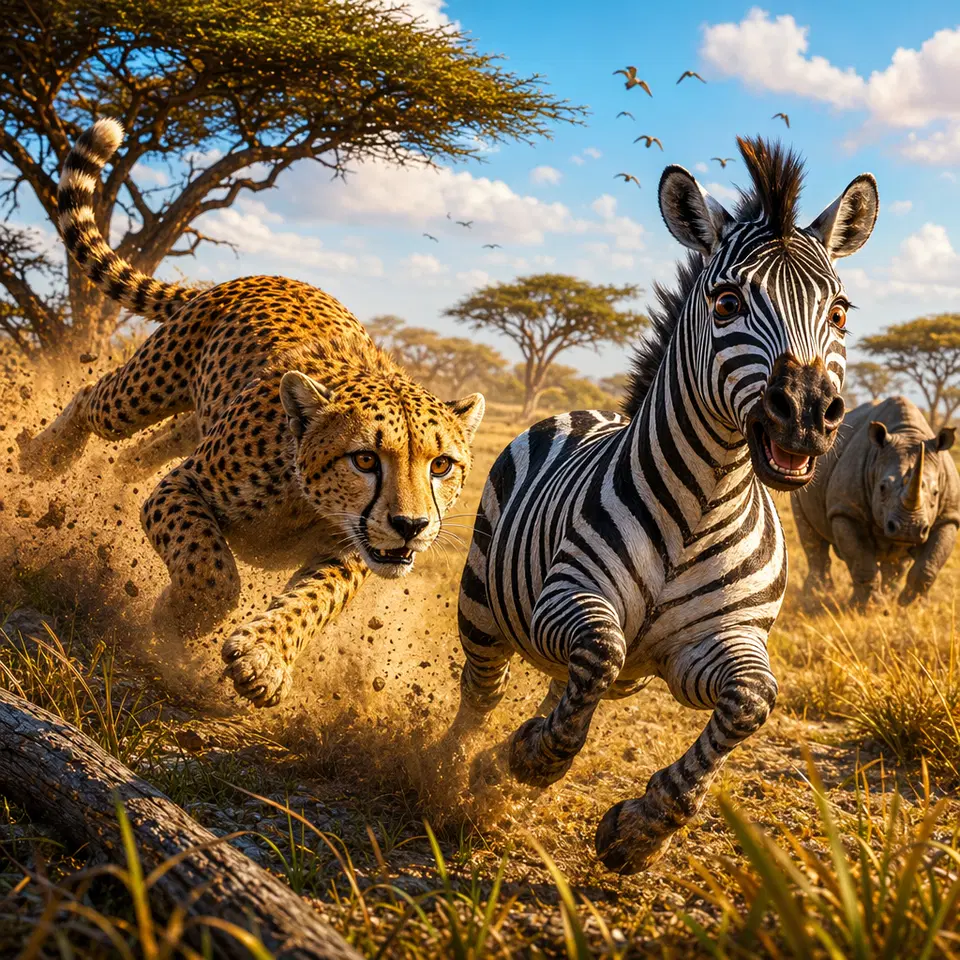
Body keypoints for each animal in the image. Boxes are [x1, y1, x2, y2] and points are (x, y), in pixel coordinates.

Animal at [19, 119, 485, 707]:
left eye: (441, 465)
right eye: (364, 459)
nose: (411, 525)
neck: (305, 501)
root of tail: (269, 277)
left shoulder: (351, 554)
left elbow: (312, 603)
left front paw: (263, 658)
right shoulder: (181, 487)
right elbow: (214, 572)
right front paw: (178, 617)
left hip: (196, 415)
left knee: (148, 448)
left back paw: (111, 482)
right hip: (143, 391)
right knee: (91, 402)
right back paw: (45, 459)